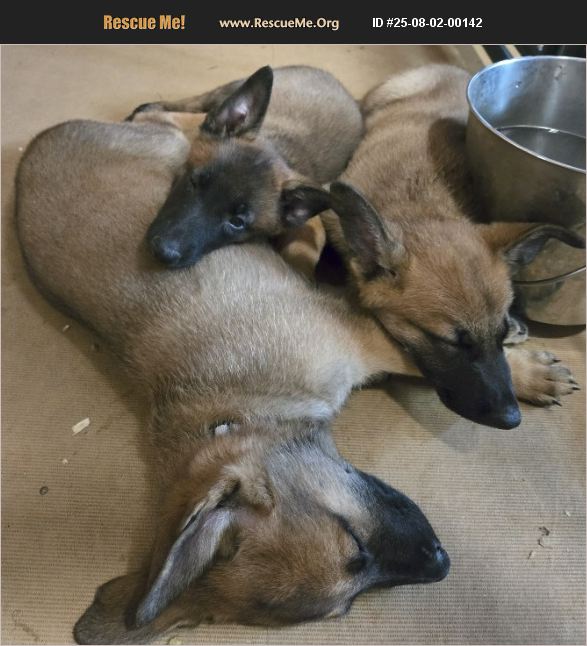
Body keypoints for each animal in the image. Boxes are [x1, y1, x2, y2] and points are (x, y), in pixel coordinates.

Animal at [16, 117, 450, 644]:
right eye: (344, 606)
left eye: (352, 538)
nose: (443, 563)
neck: (238, 409)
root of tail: (38, 141)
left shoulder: (362, 337)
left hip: (175, 149)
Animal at [131, 65, 362, 274]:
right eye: (193, 182)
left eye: (237, 222)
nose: (162, 251)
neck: (276, 143)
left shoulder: (308, 224)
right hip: (223, 90)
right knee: (187, 102)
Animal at [322, 64, 583, 429]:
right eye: (450, 342)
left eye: (498, 334)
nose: (512, 419)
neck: (417, 206)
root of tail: (450, 68)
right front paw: (528, 373)